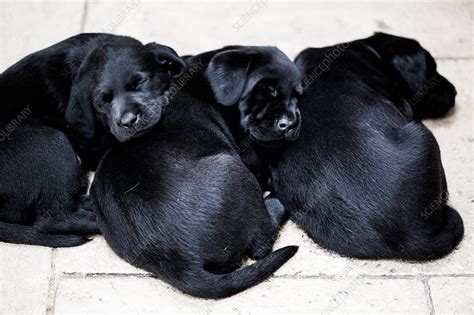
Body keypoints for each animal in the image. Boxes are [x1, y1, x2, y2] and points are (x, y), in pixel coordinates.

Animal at [90, 46, 300, 298]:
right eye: (267, 90)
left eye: (297, 95)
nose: (290, 124)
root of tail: (180, 264)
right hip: (233, 171)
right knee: (261, 241)